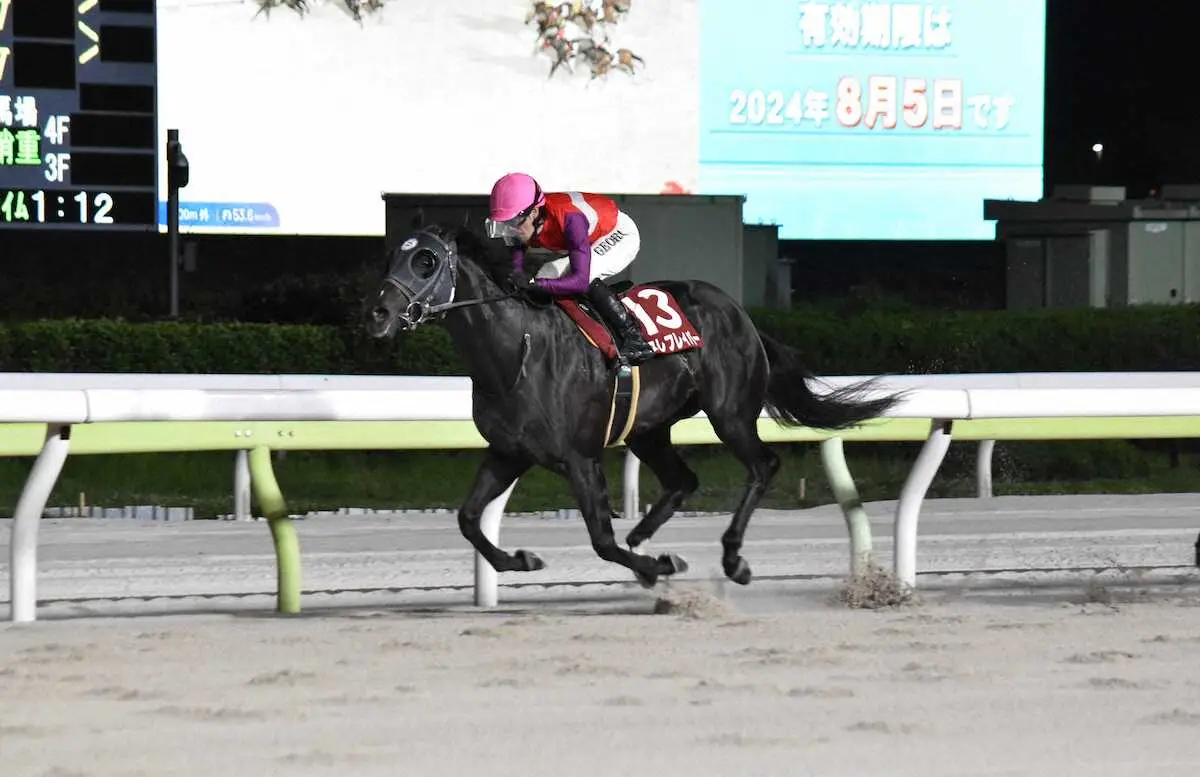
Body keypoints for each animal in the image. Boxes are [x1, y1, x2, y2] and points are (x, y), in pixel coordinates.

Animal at [364, 224, 902, 589]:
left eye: (427, 262)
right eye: (390, 257)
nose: (379, 314)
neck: (515, 352)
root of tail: (740, 313)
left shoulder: (580, 458)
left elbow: (602, 540)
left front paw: (655, 567)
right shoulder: (508, 453)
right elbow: (468, 519)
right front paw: (521, 560)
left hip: (729, 413)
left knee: (763, 466)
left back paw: (731, 559)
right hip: (648, 430)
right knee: (684, 480)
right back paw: (643, 533)